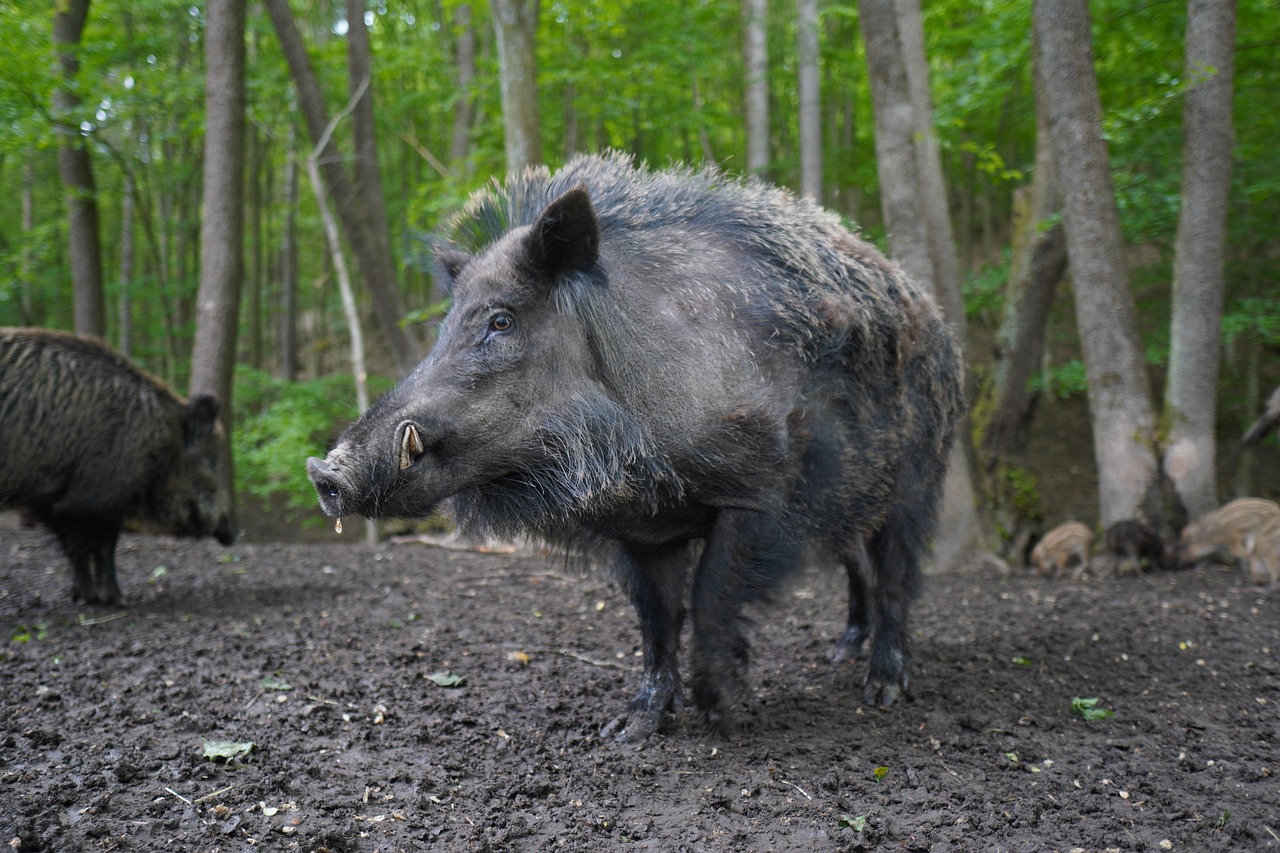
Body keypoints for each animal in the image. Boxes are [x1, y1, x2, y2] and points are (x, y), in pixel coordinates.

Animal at [0, 327, 236, 605]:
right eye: (212, 460)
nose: (234, 532)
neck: (160, 442)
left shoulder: (52, 502)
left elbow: (79, 548)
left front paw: (87, 596)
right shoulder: (91, 499)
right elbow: (98, 548)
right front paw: (111, 599)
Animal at [308, 153, 964, 739]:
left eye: (500, 321)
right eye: (443, 328)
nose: (324, 471)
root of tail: (937, 321)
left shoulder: (761, 494)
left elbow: (710, 595)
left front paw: (722, 714)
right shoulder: (644, 531)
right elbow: (655, 620)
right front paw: (629, 728)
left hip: (919, 477)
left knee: (898, 574)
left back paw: (881, 691)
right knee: (859, 568)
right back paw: (838, 655)